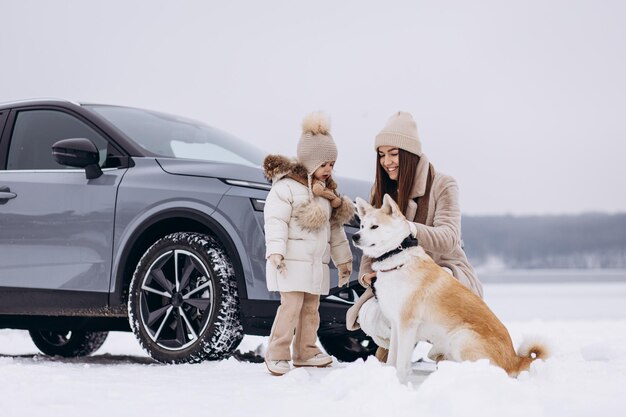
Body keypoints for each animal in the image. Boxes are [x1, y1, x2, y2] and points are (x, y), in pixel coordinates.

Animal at [352, 195, 544, 384]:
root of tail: (515, 360)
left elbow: (401, 363)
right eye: (362, 225)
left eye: (374, 226)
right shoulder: (396, 323)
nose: (355, 236)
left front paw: (400, 382)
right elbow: (392, 357)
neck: (396, 259)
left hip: (462, 338)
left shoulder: (407, 324)